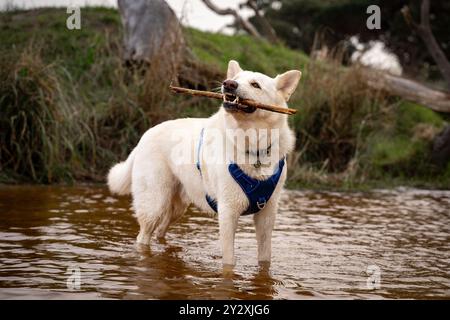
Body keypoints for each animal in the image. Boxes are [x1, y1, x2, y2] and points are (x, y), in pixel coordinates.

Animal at [107, 60, 300, 268]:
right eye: (236, 79)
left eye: (255, 84)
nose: (228, 84)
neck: (254, 148)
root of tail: (145, 136)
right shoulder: (228, 212)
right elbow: (229, 261)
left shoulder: (267, 215)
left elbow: (265, 259)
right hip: (154, 205)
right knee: (143, 236)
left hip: (177, 208)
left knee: (161, 231)